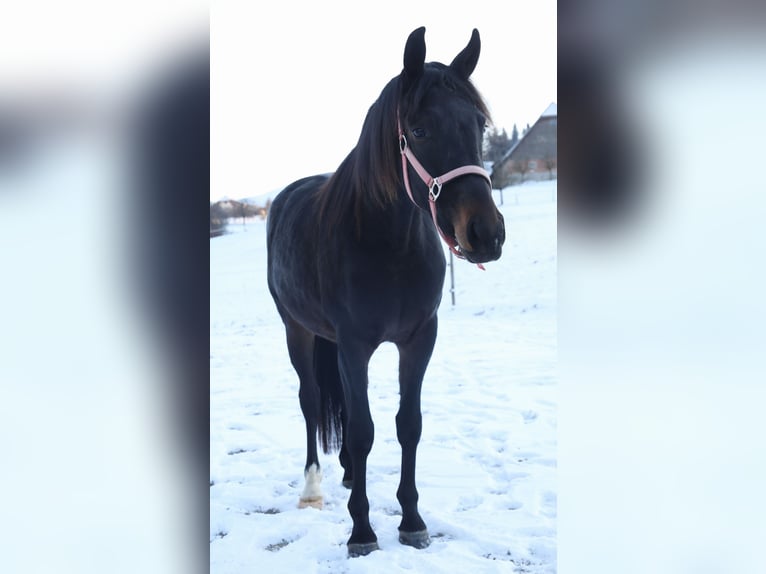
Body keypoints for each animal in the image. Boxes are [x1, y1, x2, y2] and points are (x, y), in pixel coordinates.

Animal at [266, 26, 505, 557]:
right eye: (418, 131)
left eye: (479, 124)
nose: (486, 233)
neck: (387, 246)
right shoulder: (354, 345)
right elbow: (360, 430)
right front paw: (362, 531)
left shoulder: (418, 339)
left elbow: (406, 425)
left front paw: (411, 520)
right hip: (297, 331)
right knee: (311, 400)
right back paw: (313, 488)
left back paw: (348, 476)